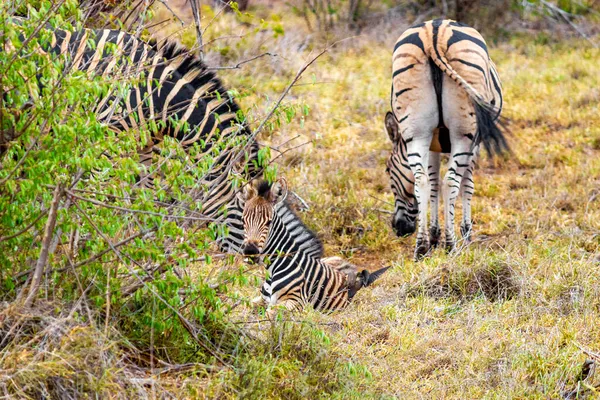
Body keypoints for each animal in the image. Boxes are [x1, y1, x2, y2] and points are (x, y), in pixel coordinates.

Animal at [239, 178, 390, 316]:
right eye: (243, 220)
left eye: (269, 222)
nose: (250, 252)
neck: (274, 268)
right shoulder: (262, 299)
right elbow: (245, 305)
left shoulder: (298, 301)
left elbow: (270, 313)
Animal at [384, 18, 506, 258]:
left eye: (387, 170)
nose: (399, 228)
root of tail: (434, 30)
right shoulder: (473, 143)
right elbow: (465, 183)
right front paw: (464, 233)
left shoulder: (433, 143)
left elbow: (433, 184)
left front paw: (433, 235)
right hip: (463, 132)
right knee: (451, 181)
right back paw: (451, 245)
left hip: (417, 130)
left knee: (422, 180)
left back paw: (421, 248)